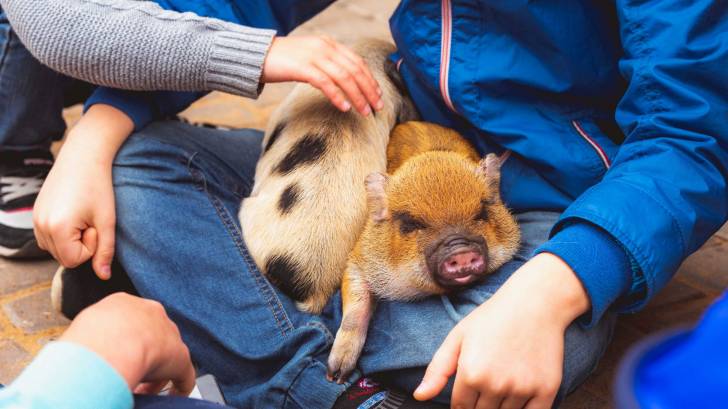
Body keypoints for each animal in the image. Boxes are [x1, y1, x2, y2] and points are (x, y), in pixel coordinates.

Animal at [328, 121, 520, 382]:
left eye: (481, 213)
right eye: (411, 223)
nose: (460, 250)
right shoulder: (359, 259)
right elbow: (356, 304)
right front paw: (335, 375)